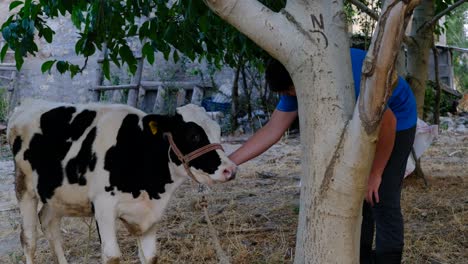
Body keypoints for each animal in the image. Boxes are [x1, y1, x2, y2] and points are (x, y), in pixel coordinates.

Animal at [9, 99, 238, 264]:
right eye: (193, 136)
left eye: (219, 132)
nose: (230, 170)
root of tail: (27, 104)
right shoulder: (103, 207)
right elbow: (112, 257)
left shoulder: (150, 212)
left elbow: (150, 256)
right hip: (24, 186)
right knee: (28, 239)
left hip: (58, 195)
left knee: (50, 224)